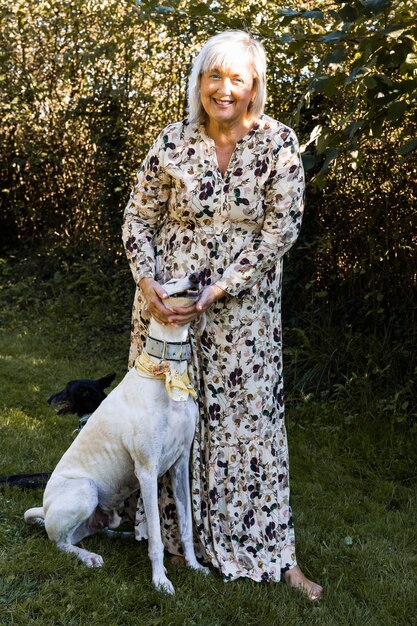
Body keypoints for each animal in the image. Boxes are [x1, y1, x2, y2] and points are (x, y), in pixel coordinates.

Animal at [24, 272, 206, 588]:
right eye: (171, 280)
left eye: (190, 273)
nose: (198, 275)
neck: (166, 373)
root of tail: (45, 509)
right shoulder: (147, 469)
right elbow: (157, 538)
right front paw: (160, 581)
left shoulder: (181, 464)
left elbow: (185, 524)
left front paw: (194, 566)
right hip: (84, 490)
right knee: (58, 542)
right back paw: (88, 557)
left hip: (106, 513)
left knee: (91, 531)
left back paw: (119, 535)